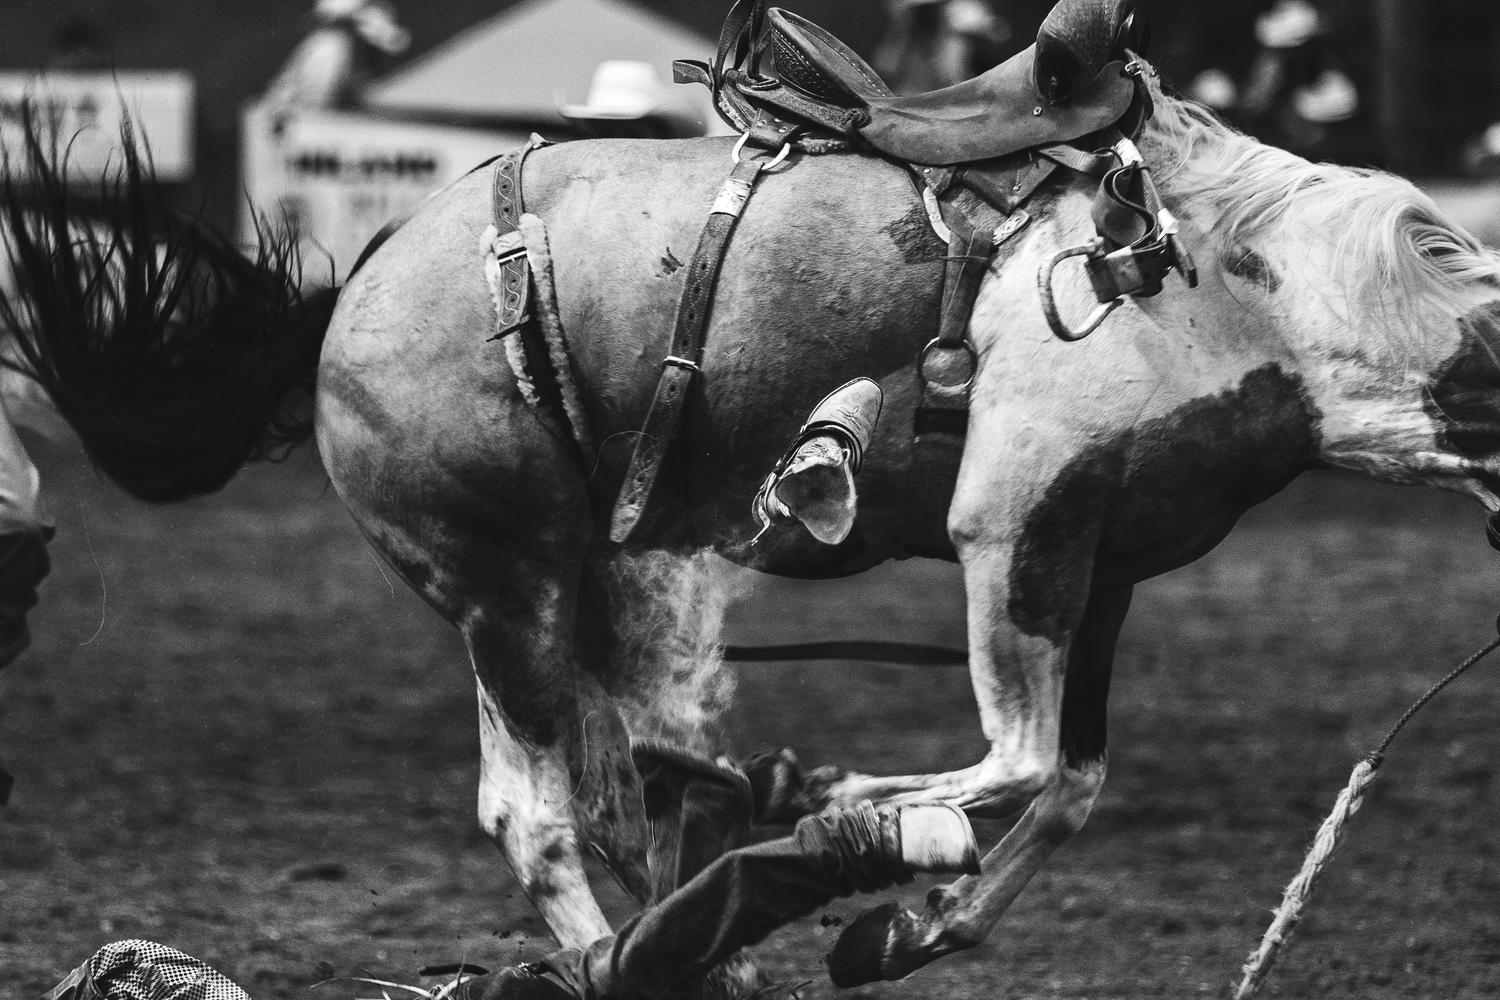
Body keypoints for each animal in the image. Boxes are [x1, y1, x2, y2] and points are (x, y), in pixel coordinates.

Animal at [4, 66, 1499, 989]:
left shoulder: (1106, 560)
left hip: (609, 578)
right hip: (506, 582)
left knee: (622, 787)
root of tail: (358, 277)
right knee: (535, 810)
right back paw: (640, 930)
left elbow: (1070, 784)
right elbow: (1016, 761)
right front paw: (845, 811)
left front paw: (898, 933)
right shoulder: (1013, 524)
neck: (1249, 283)